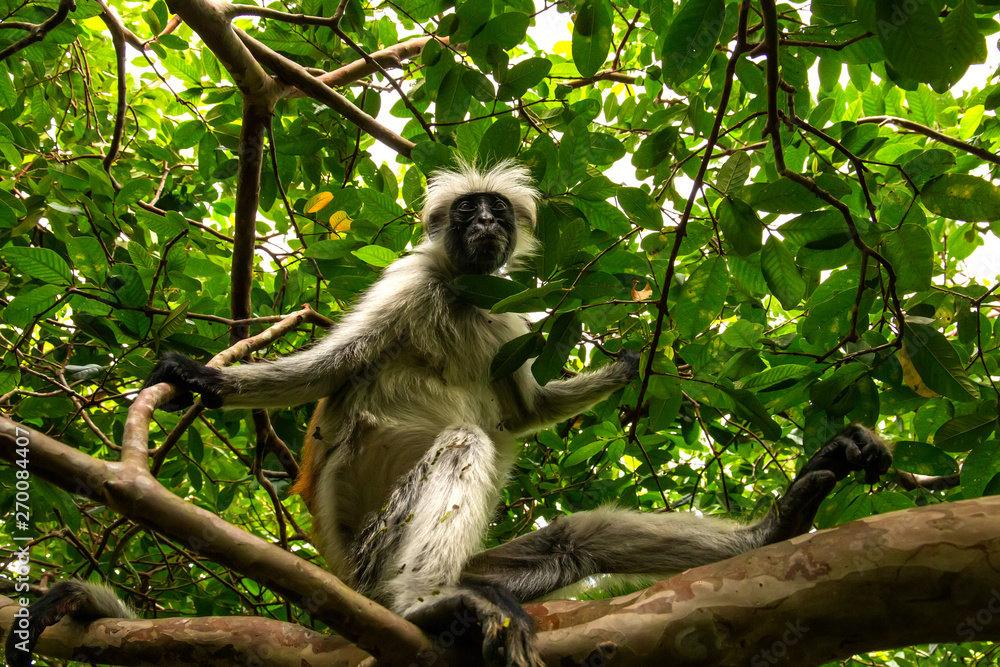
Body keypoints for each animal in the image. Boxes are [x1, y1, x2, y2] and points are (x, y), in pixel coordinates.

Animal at [4, 161, 893, 667]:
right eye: (469, 212)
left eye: (494, 210)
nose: (488, 223)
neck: (462, 296)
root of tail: (343, 575)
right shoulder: (406, 281)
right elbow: (330, 369)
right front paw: (196, 375)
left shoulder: (508, 316)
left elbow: (526, 410)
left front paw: (624, 363)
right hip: (376, 549)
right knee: (463, 444)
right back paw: (426, 607)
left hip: (492, 565)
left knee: (573, 539)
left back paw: (780, 521)